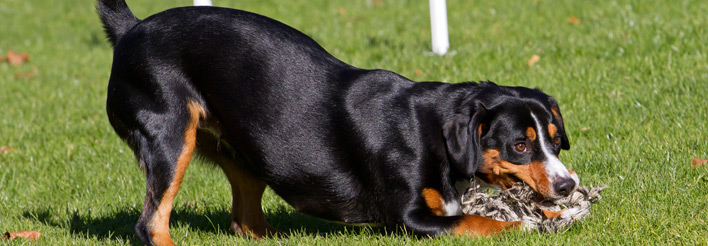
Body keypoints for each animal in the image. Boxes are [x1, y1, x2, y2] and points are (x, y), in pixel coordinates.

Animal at [97, 0, 580, 244]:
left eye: (556, 141)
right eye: (521, 145)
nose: (567, 185)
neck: (432, 132)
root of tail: (132, 28)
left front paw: (555, 214)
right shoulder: (410, 219)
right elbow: (481, 222)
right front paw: (527, 226)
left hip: (246, 150)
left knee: (246, 222)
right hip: (170, 138)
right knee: (151, 224)